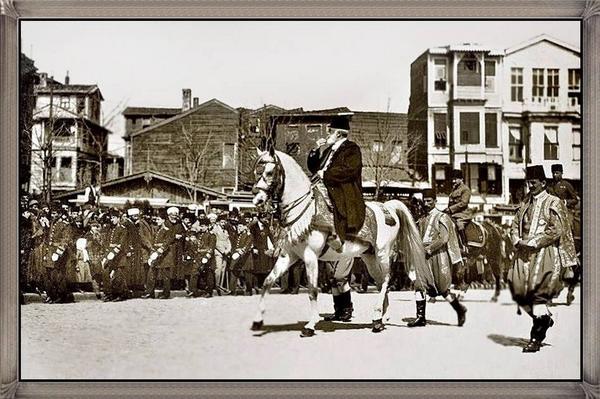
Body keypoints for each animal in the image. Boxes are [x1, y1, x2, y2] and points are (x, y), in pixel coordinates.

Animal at [250, 148, 432, 338]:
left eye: (269, 172)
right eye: (255, 172)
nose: (257, 199)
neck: (304, 212)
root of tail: (387, 207)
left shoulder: (310, 256)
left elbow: (313, 290)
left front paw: (310, 325)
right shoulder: (288, 256)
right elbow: (267, 282)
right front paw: (257, 320)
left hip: (383, 253)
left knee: (387, 280)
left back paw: (377, 317)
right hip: (369, 257)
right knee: (380, 282)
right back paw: (381, 318)